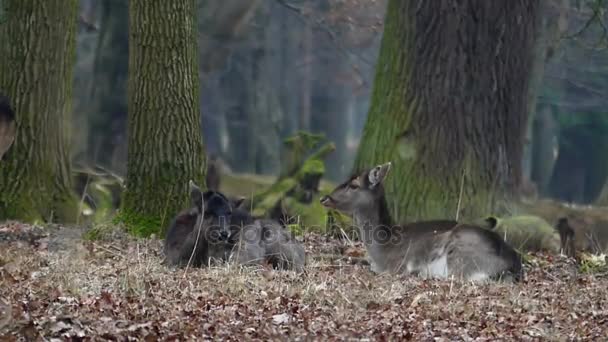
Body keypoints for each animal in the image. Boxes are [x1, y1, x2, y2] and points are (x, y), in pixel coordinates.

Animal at [320, 163, 524, 284]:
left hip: (460, 255)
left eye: (354, 185)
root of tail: (511, 265)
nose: (324, 198)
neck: (382, 249)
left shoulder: (397, 265)